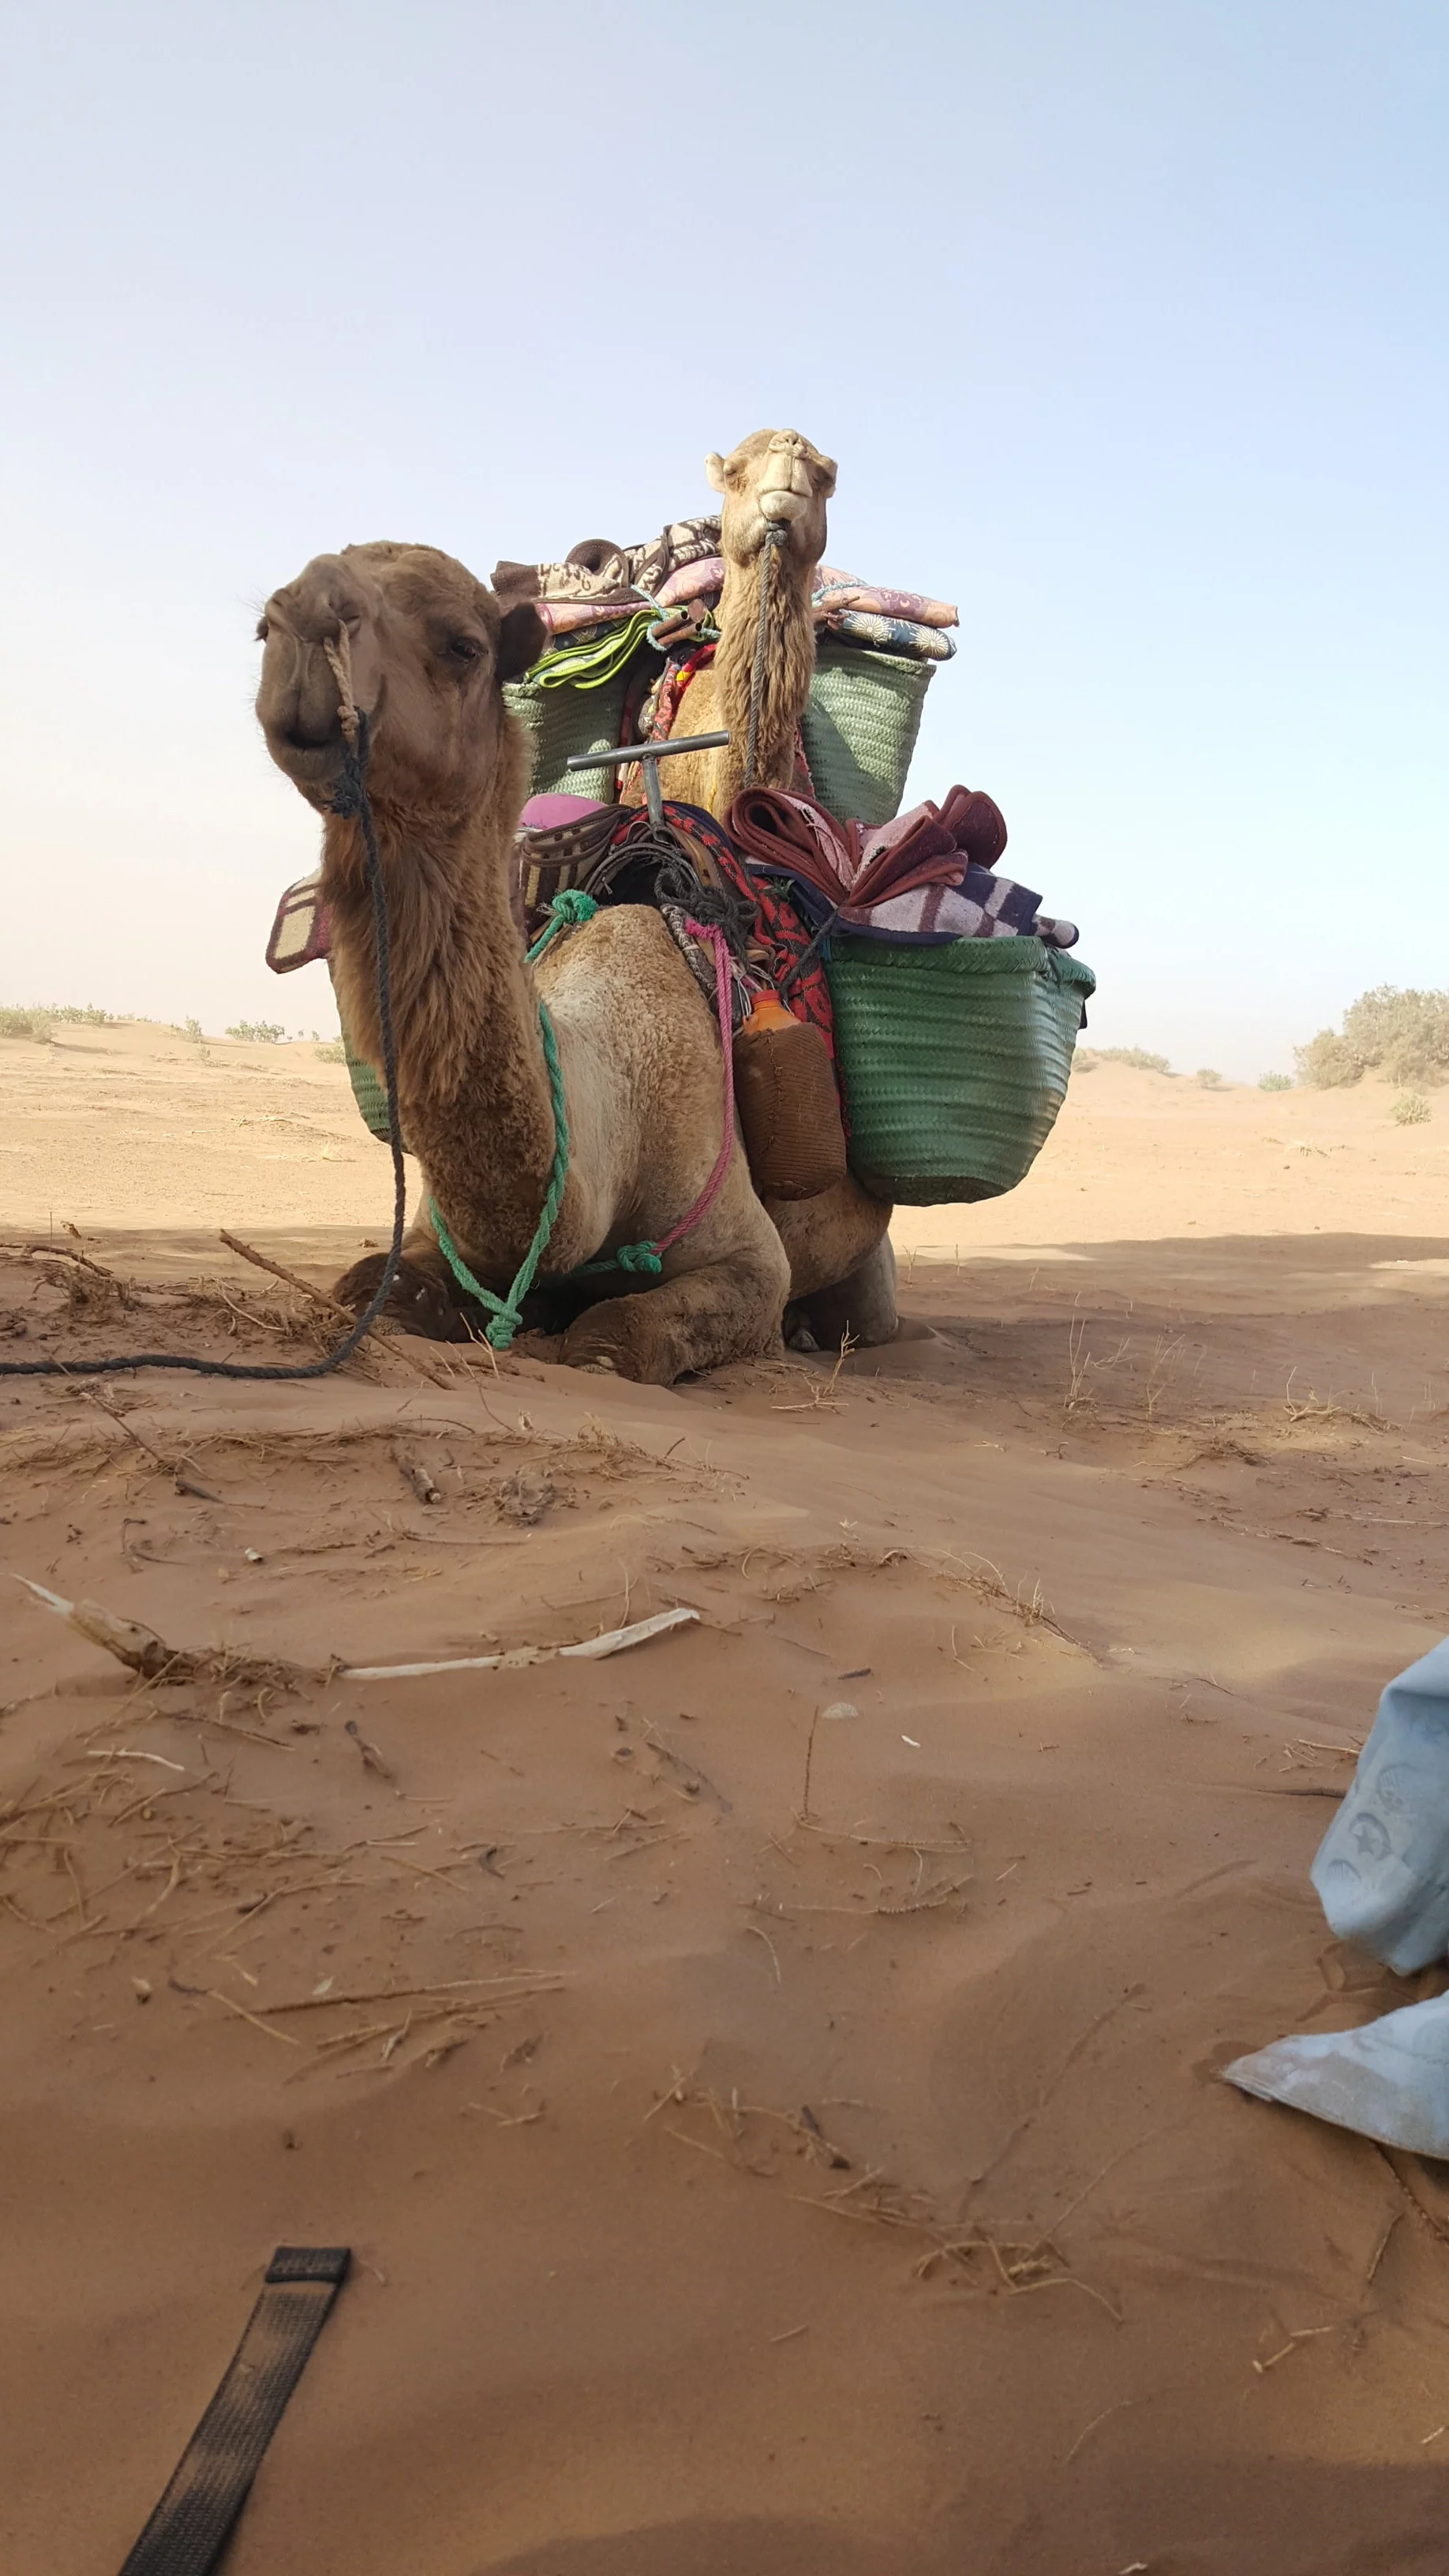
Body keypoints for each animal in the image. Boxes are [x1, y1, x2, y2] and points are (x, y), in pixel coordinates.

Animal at [256, 543, 892, 1391]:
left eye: (464, 645)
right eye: (261, 627)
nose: (301, 614)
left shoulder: (748, 1257)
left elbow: (613, 1336)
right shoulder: (437, 1237)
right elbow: (365, 1289)